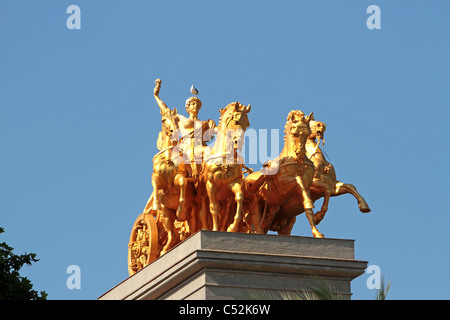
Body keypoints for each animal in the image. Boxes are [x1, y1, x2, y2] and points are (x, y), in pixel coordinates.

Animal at [200, 102, 253, 232]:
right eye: (236, 120)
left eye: (247, 124)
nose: (239, 142)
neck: (224, 159)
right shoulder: (210, 185)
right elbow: (213, 208)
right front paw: (215, 229)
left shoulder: (234, 183)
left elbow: (239, 197)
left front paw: (232, 227)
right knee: (203, 211)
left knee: (225, 214)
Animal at [243, 110, 324, 238]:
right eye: (294, 132)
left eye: (308, 132)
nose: (299, 152)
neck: (297, 161)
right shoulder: (283, 186)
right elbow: (298, 180)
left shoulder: (307, 187)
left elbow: (308, 207)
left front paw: (317, 232)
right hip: (255, 201)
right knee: (256, 219)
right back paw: (258, 232)